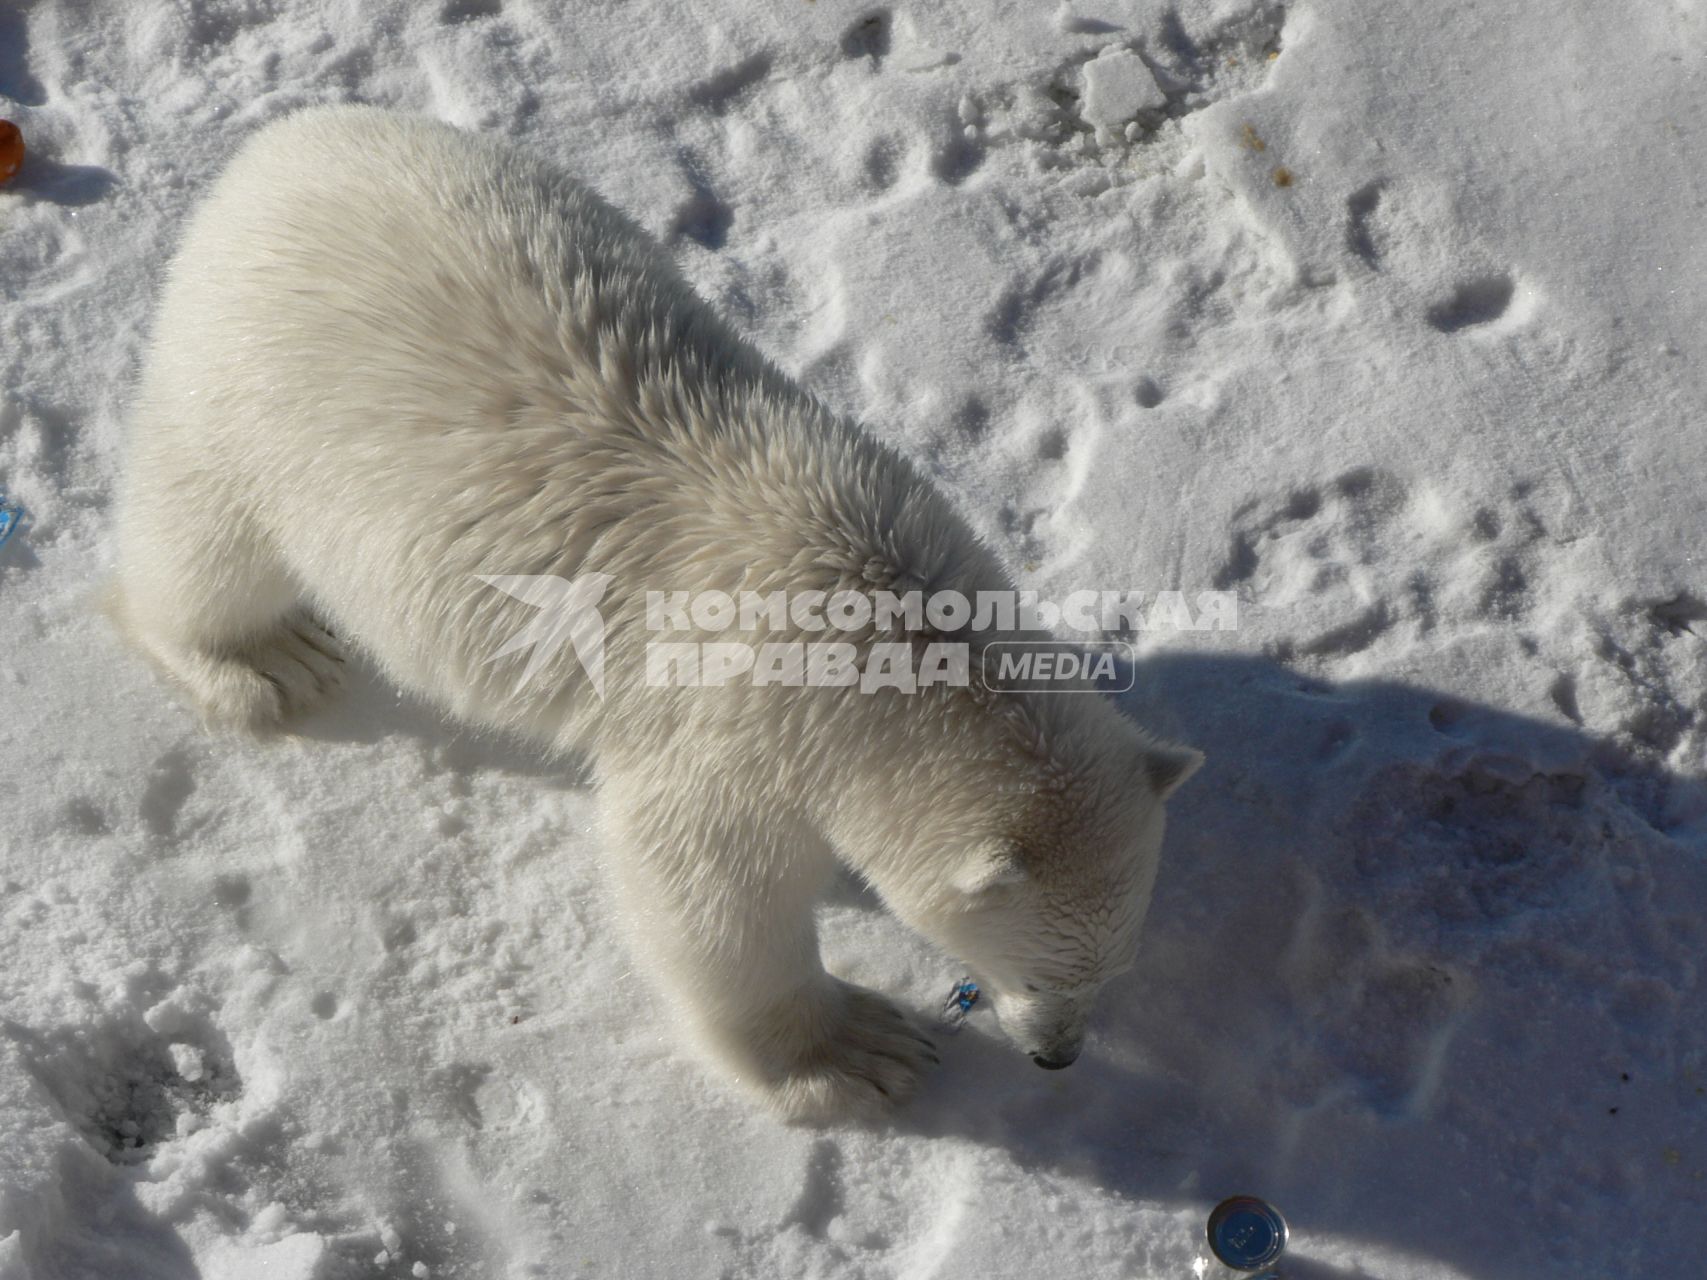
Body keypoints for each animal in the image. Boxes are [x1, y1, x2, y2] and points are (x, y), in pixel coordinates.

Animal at [113, 107, 1201, 1119]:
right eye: (1041, 968)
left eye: (1113, 967)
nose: (1058, 1055)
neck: (875, 609)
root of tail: (269, 150)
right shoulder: (736, 726)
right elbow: (708, 894)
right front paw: (853, 1053)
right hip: (248, 393)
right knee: (208, 543)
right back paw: (265, 658)